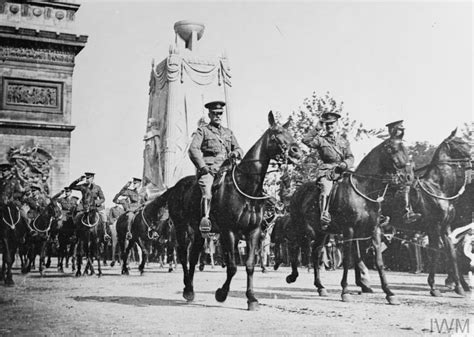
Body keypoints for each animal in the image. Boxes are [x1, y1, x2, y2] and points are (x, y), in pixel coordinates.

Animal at [152, 111, 302, 308]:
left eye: (289, 132)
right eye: (276, 133)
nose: (297, 151)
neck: (245, 188)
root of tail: (175, 187)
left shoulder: (253, 231)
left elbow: (249, 265)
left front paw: (251, 298)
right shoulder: (229, 231)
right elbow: (232, 267)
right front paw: (221, 294)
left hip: (199, 232)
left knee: (193, 256)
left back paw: (190, 289)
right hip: (181, 228)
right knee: (183, 255)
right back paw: (187, 288)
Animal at [286, 135, 412, 304]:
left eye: (406, 148)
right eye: (392, 149)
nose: (408, 176)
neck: (364, 190)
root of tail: (297, 192)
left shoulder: (374, 230)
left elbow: (378, 262)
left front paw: (389, 293)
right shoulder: (349, 231)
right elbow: (347, 260)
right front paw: (345, 291)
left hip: (322, 232)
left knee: (316, 253)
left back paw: (320, 287)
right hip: (303, 228)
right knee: (294, 246)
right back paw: (292, 276)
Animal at [408, 130, 470, 296]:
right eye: (460, 142)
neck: (438, 188)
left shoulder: (445, 228)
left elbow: (452, 254)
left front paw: (459, 287)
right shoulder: (434, 227)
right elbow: (435, 254)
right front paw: (433, 287)